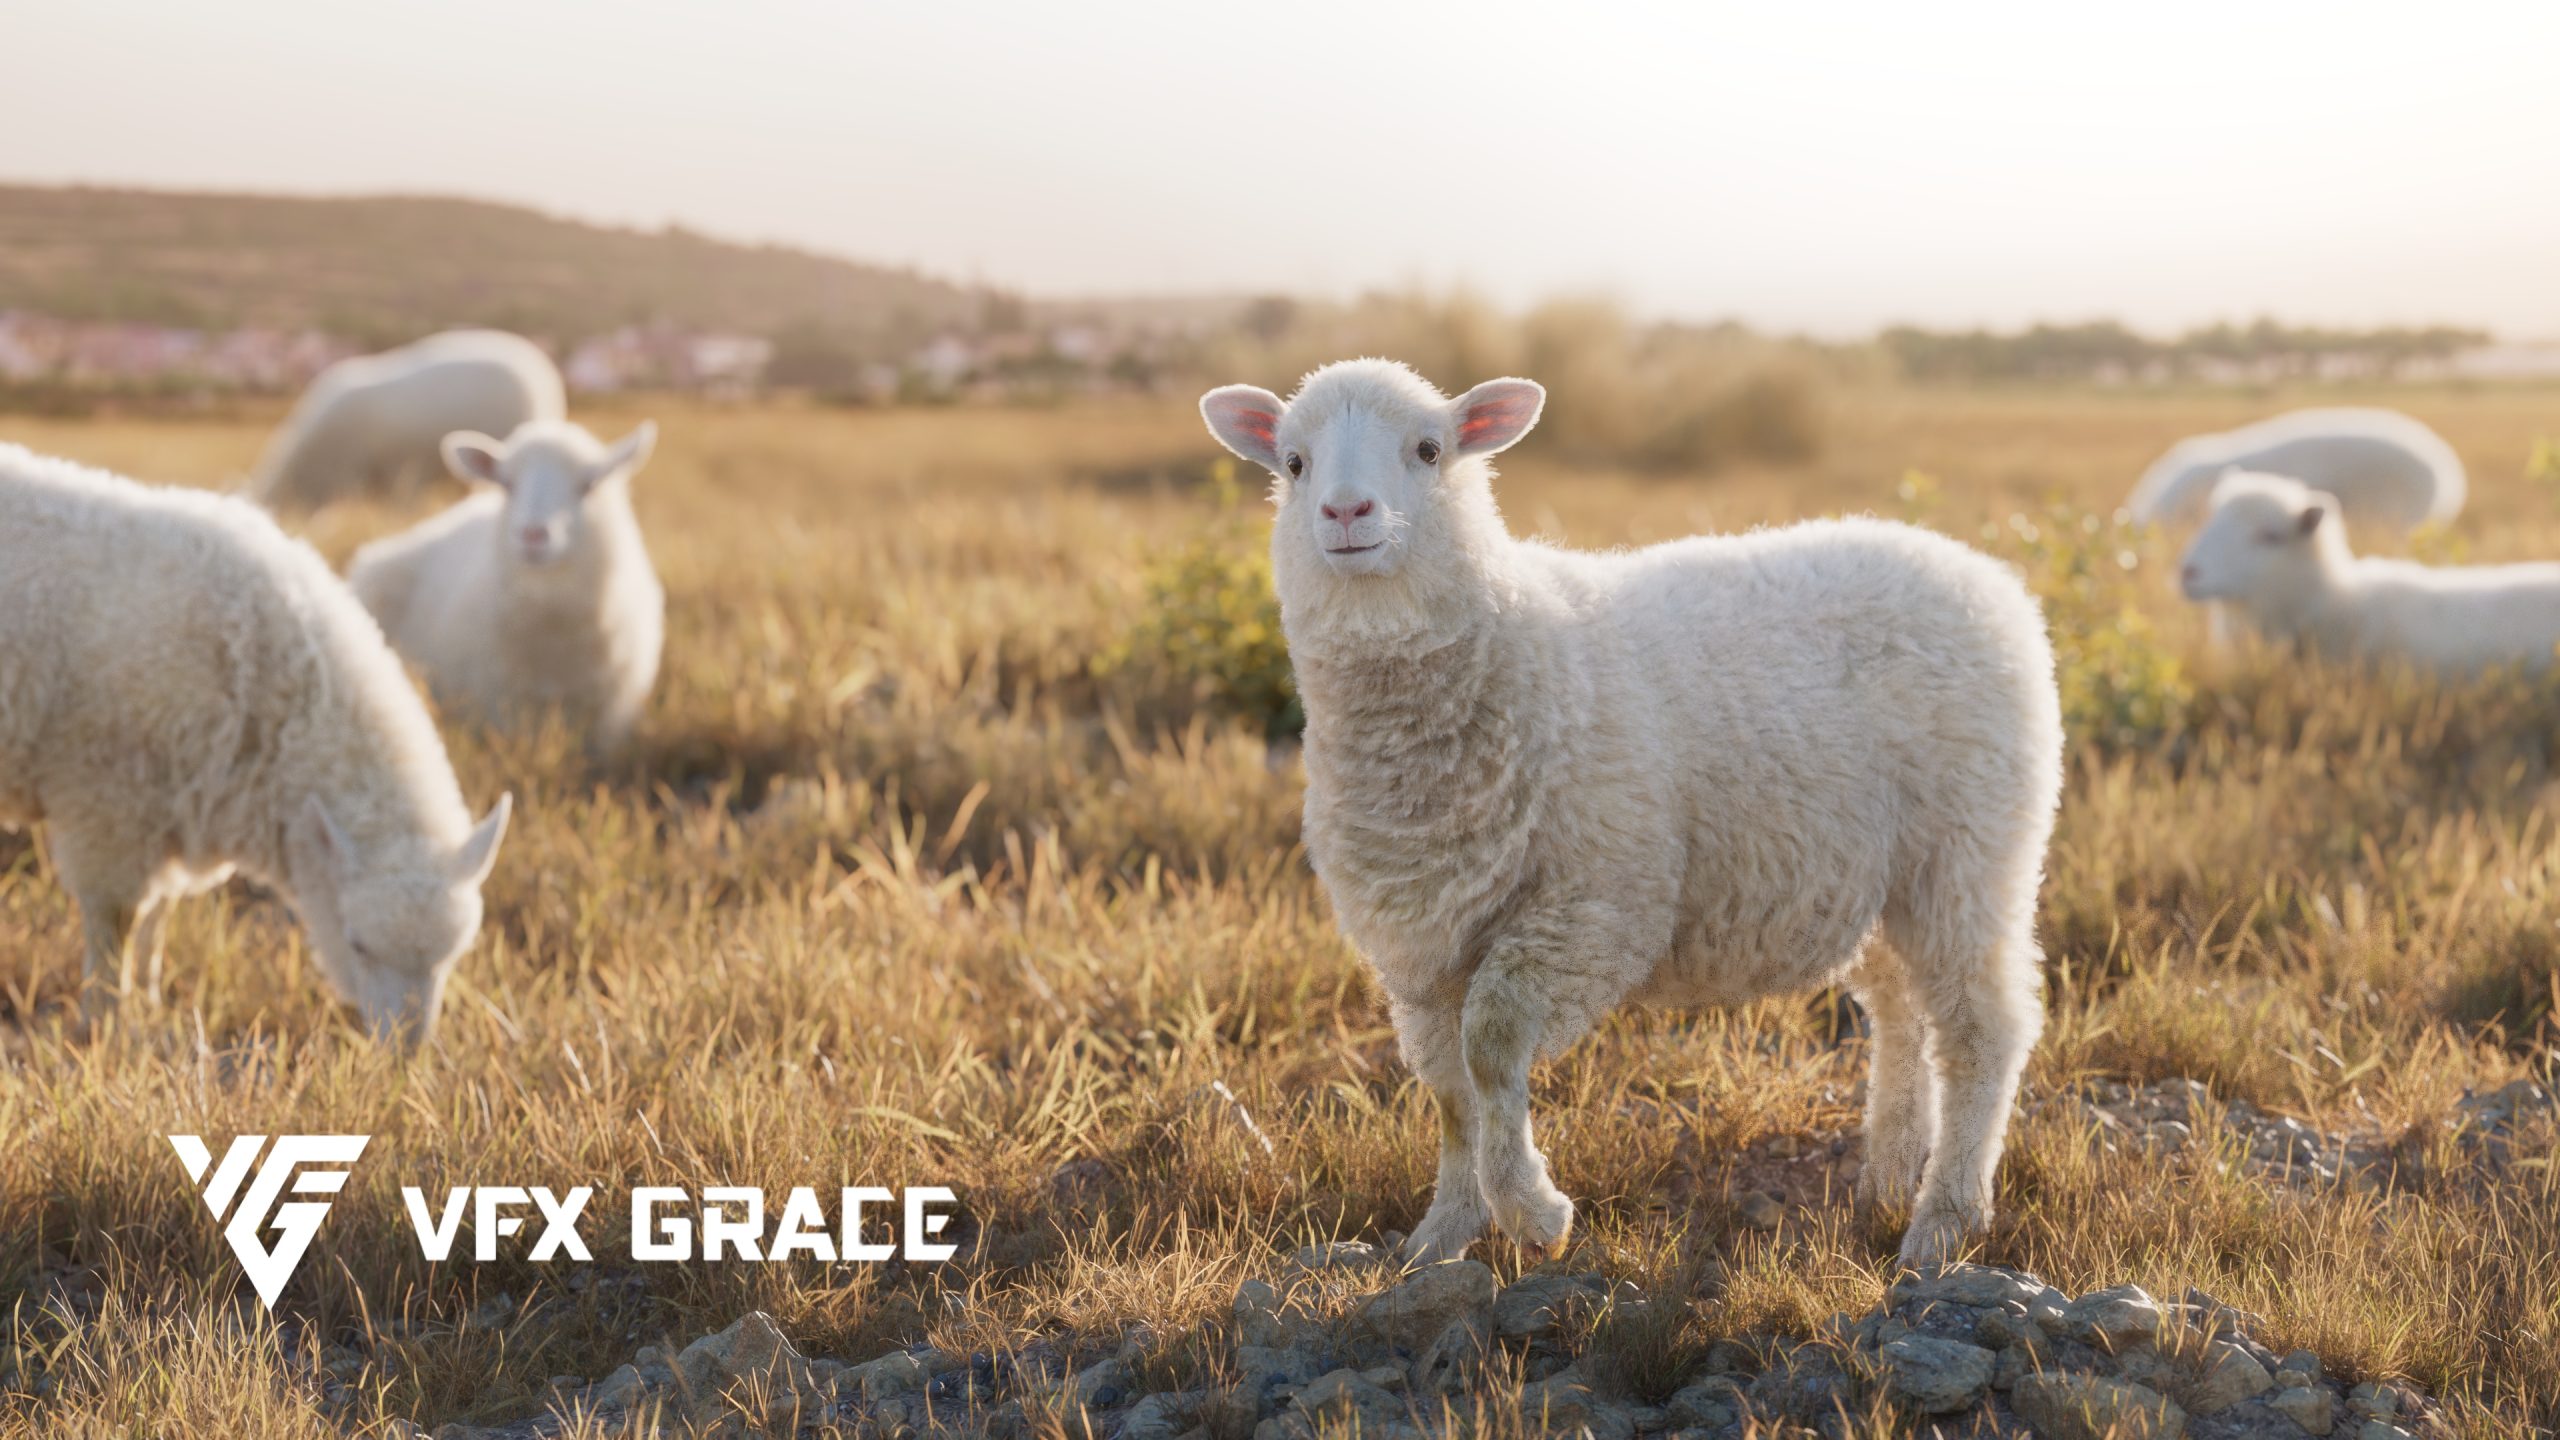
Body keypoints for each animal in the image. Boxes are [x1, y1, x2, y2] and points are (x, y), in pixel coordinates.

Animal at [0, 442, 513, 1042]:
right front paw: (105, 1022)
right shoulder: (107, 802)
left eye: (455, 954)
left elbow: (157, 919)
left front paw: (148, 1005)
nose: (405, 1052)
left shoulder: (171, 806)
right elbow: (117, 923)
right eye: (357, 943)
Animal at [1200, 360, 2064, 1268]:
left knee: (1982, 1029)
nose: (1345, 513)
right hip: (1886, 879)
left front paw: (1533, 1213)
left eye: (1430, 450)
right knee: (1902, 1012)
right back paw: (1892, 1173)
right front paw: (1444, 1231)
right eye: (1292, 463)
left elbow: (1492, 1047)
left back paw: (1945, 1218)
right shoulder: (1424, 945)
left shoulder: (1595, 909)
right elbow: (1449, 1092)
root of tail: (1982, 575)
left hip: (1969, 851)